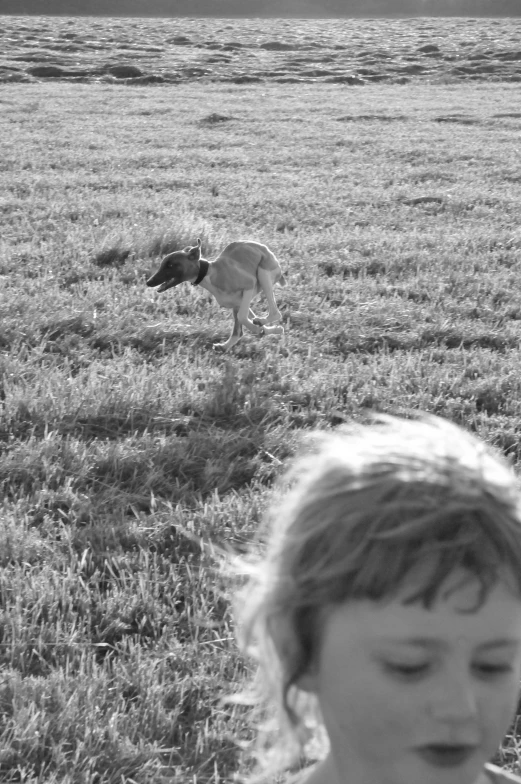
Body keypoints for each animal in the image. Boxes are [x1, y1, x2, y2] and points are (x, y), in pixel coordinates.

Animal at [145, 237, 284, 350]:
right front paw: (264, 330)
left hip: (263, 274)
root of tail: (265, 248)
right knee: (239, 330)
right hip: (239, 301)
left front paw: (258, 328)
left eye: (170, 265)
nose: (148, 282)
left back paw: (261, 322)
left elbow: (242, 317)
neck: (211, 273)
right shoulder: (238, 302)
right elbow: (241, 322)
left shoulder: (249, 285)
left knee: (275, 313)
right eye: (163, 264)